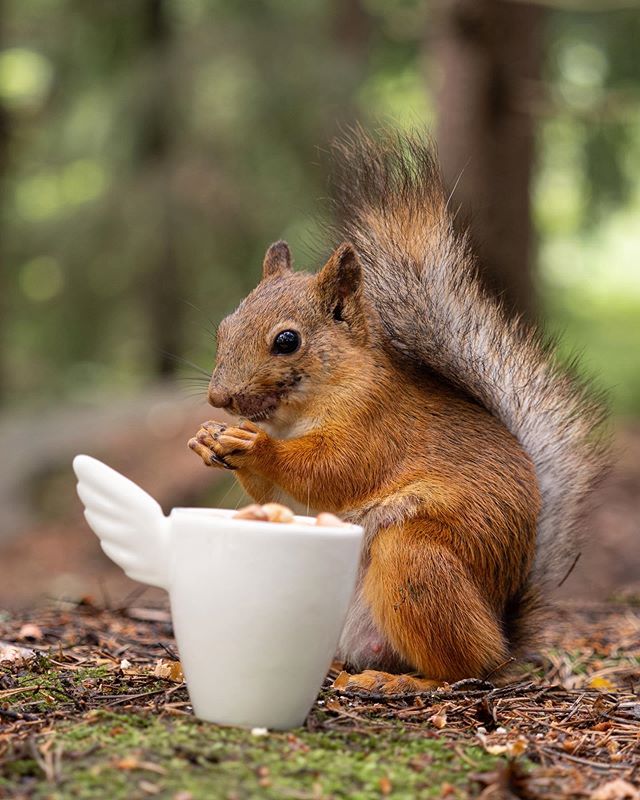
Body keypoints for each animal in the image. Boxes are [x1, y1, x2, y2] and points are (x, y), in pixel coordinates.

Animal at [188, 131, 608, 692]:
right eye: (223, 327)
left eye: (287, 340)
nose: (220, 399)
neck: (299, 413)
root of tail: (502, 632)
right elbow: (280, 498)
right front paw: (208, 440)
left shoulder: (377, 427)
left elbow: (331, 470)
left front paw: (256, 446)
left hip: (414, 561)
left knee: (463, 667)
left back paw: (409, 683)